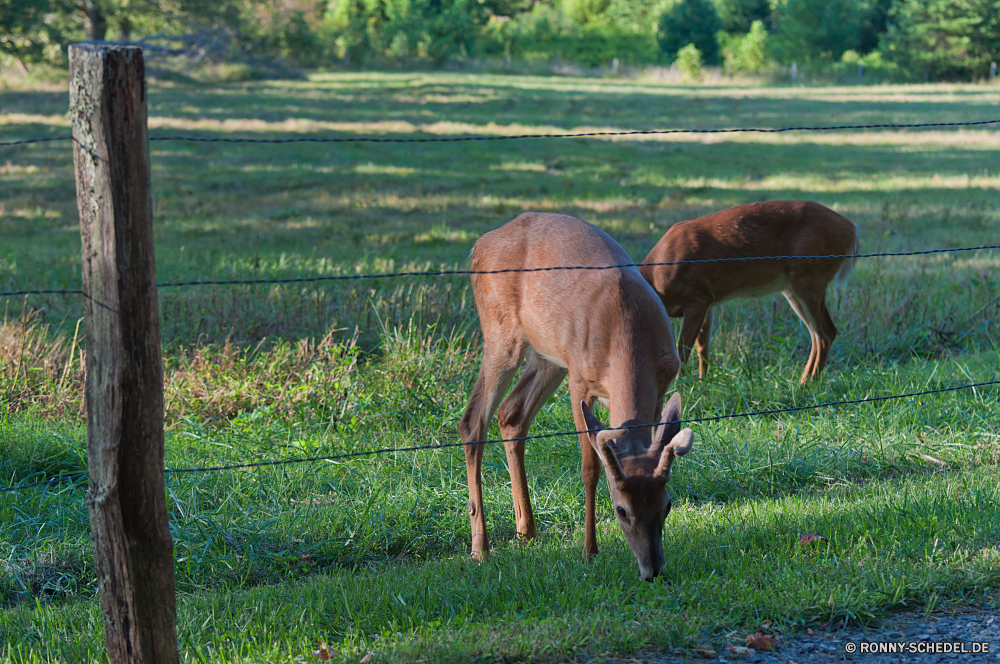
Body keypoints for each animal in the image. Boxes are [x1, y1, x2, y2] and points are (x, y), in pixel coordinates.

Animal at [460, 213, 696, 580]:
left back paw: (526, 531)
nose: (652, 569)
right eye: (621, 509)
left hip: (548, 356)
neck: (628, 332)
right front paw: (589, 551)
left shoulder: (662, 383)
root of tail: (480, 244)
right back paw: (480, 549)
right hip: (502, 333)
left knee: (511, 414)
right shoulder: (579, 383)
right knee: (473, 421)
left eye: (667, 504)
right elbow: (590, 468)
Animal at [636, 198, 856, 384]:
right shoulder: (708, 301)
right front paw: (702, 383)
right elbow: (703, 347)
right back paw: (805, 380)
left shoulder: (696, 295)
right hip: (793, 287)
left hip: (809, 277)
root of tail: (852, 229)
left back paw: (808, 384)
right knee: (817, 335)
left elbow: (682, 349)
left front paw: (680, 386)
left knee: (826, 332)